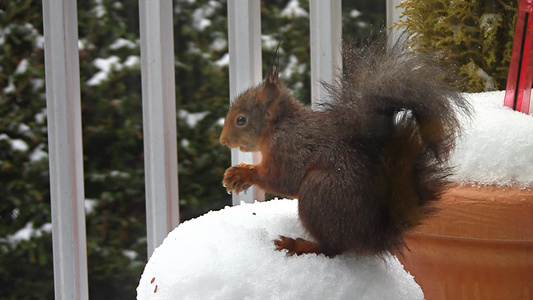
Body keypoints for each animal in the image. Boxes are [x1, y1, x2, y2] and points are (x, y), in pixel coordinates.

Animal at [218, 40, 468, 258]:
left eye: (241, 120)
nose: (223, 140)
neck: (280, 125)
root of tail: (371, 238)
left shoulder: (289, 148)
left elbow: (282, 179)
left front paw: (242, 174)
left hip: (319, 193)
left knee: (332, 248)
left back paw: (299, 245)